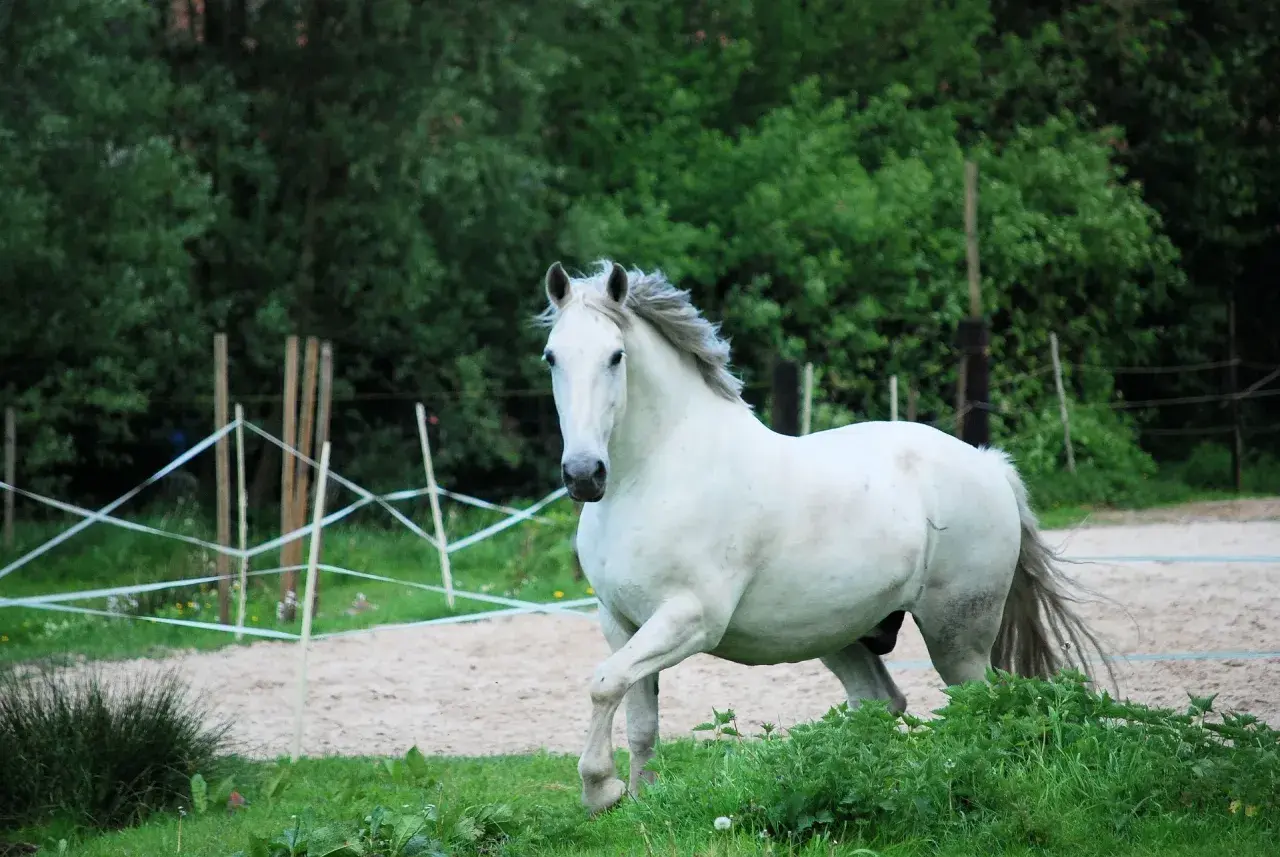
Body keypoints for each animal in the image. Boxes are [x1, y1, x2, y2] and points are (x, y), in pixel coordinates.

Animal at [534, 259, 1115, 815]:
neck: (654, 474)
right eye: (551, 357)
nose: (583, 475)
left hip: (959, 635)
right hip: (842, 634)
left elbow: (603, 684)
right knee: (881, 702)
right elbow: (638, 717)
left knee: (977, 706)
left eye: (615, 356)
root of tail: (988, 464)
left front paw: (601, 790)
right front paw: (639, 801)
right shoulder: (621, 622)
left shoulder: (690, 618)